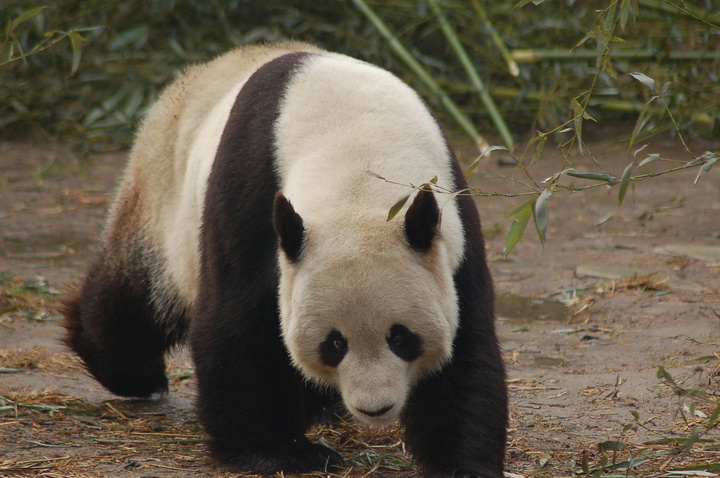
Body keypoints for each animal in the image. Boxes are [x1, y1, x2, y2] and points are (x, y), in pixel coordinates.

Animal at [64, 43, 510, 476]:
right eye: (335, 343)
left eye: (401, 338)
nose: (375, 408)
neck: (360, 164)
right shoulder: (251, 195)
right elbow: (239, 319)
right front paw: (281, 454)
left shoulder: (452, 229)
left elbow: (466, 343)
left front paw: (461, 463)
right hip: (163, 194)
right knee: (137, 297)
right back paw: (130, 371)